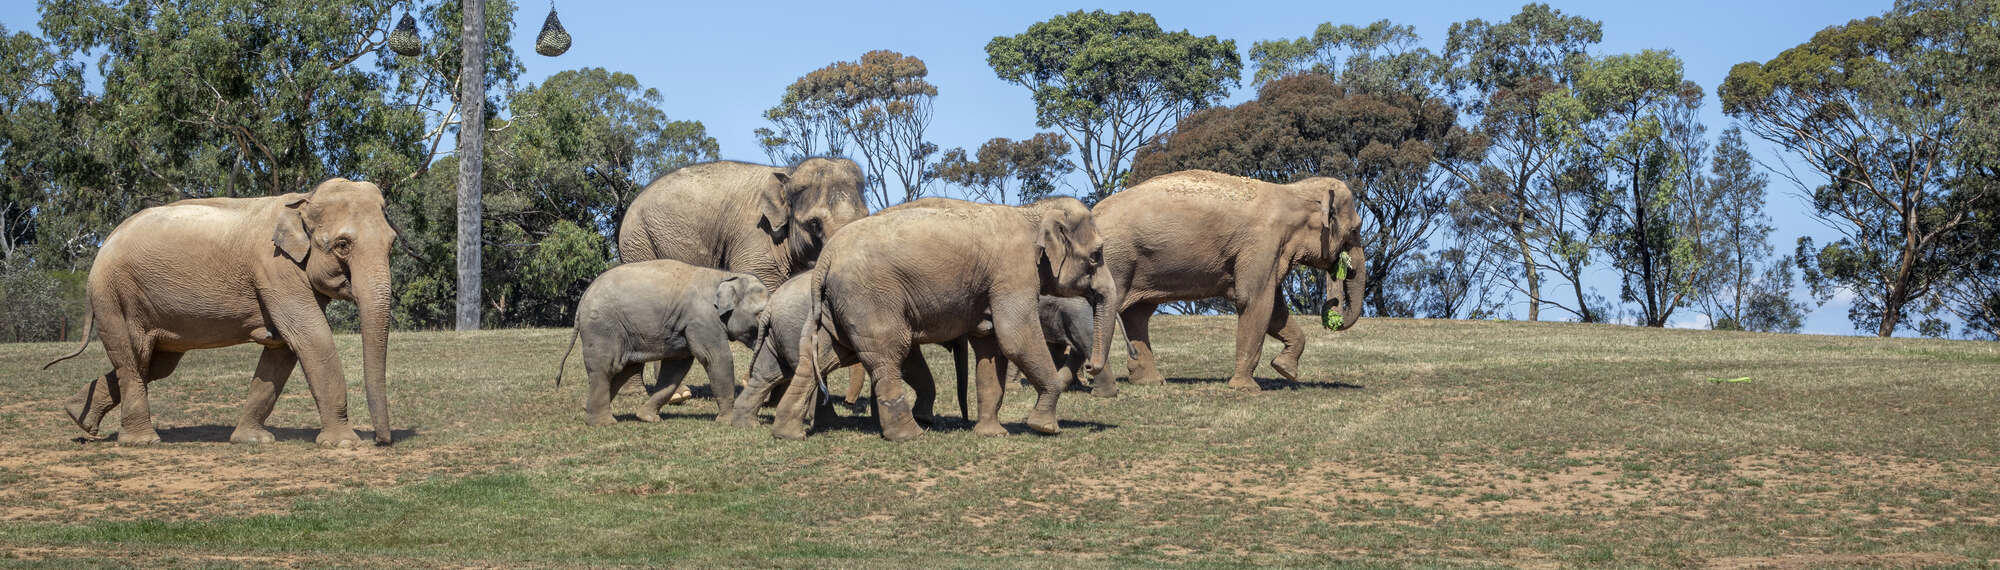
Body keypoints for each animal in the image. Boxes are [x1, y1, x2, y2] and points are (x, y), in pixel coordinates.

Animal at [41, 179, 397, 447]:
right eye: (342, 245)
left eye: (393, 243)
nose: (381, 441)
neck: (303, 200)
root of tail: (104, 244)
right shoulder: (275, 269)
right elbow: (311, 338)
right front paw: (344, 444)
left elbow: (281, 349)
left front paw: (252, 440)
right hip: (113, 295)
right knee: (132, 357)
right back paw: (142, 441)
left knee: (153, 364)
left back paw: (78, 418)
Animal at [554, 260, 768, 426]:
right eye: (759, 313)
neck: (726, 275)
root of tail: (583, 299)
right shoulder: (702, 320)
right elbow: (716, 359)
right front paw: (728, 421)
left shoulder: (684, 327)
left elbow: (676, 368)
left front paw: (647, 417)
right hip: (602, 326)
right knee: (606, 367)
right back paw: (603, 423)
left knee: (625, 368)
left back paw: (587, 408)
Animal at [616, 158, 869, 405]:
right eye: (815, 223)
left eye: (866, 216)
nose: (849, 402)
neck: (788, 175)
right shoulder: (755, 239)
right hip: (639, 243)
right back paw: (655, 395)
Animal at [768, 197, 1111, 441]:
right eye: (1097, 255)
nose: (1090, 367)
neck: (1032, 212)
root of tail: (825, 258)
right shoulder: (1012, 271)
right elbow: (1015, 337)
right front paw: (1045, 428)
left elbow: (990, 346)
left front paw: (992, 434)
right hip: (869, 298)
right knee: (888, 353)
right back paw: (910, 436)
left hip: (837, 304)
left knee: (824, 355)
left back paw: (788, 433)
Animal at [1088, 170, 1367, 392]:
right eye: (1355, 229)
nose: (1332, 308)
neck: (1292, 191)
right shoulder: (1261, 242)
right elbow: (1254, 301)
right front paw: (1246, 389)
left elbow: (1276, 309)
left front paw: (1284, 369)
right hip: (1115, 258)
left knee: (1138, 313)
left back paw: (1150, 382)